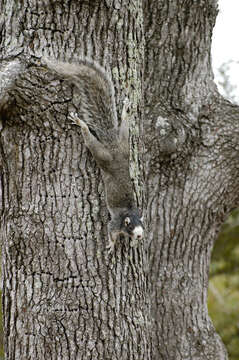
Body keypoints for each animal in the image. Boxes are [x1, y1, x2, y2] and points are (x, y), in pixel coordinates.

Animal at [44, 57, 144, 252]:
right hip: (102, 154)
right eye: (130, 227)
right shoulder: (116, 222)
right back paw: (81, 123)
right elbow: (111, 231)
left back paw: (125, 112)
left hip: (124, 145)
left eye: (142, 226)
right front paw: (112, 245)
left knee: (124, 128)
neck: (130, 213)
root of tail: (113, 146)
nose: (140, 236)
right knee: (91, 141)